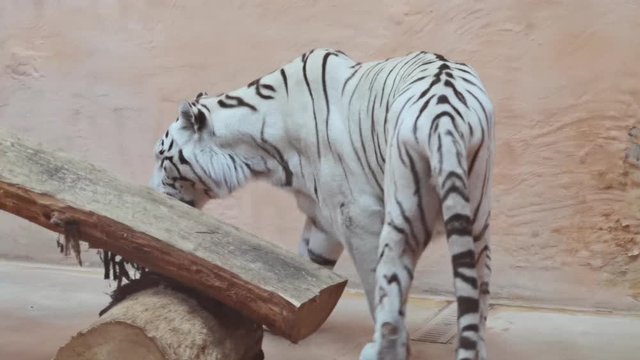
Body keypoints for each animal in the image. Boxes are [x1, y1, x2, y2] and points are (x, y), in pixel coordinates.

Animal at [149, 48, 496, 360]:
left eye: (162, 157)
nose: (152, 191)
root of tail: (444, 115)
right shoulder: (322, 217)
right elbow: (308, 263)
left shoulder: (357, 216)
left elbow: (373, 286)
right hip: (475, 218)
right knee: (475, 294)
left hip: (401, 220)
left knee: (390, 290)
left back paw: (382, 350)